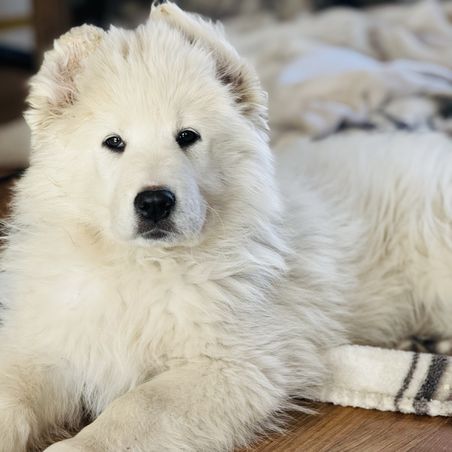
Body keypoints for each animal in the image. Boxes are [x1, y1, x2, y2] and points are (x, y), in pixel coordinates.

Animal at [1, 1, 452, 450]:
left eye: (187, 136)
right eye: (114, 143)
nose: (155, 203)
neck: (142, 266)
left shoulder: (236, 361)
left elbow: (139, 408)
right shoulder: (51, 340)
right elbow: (13, 390)